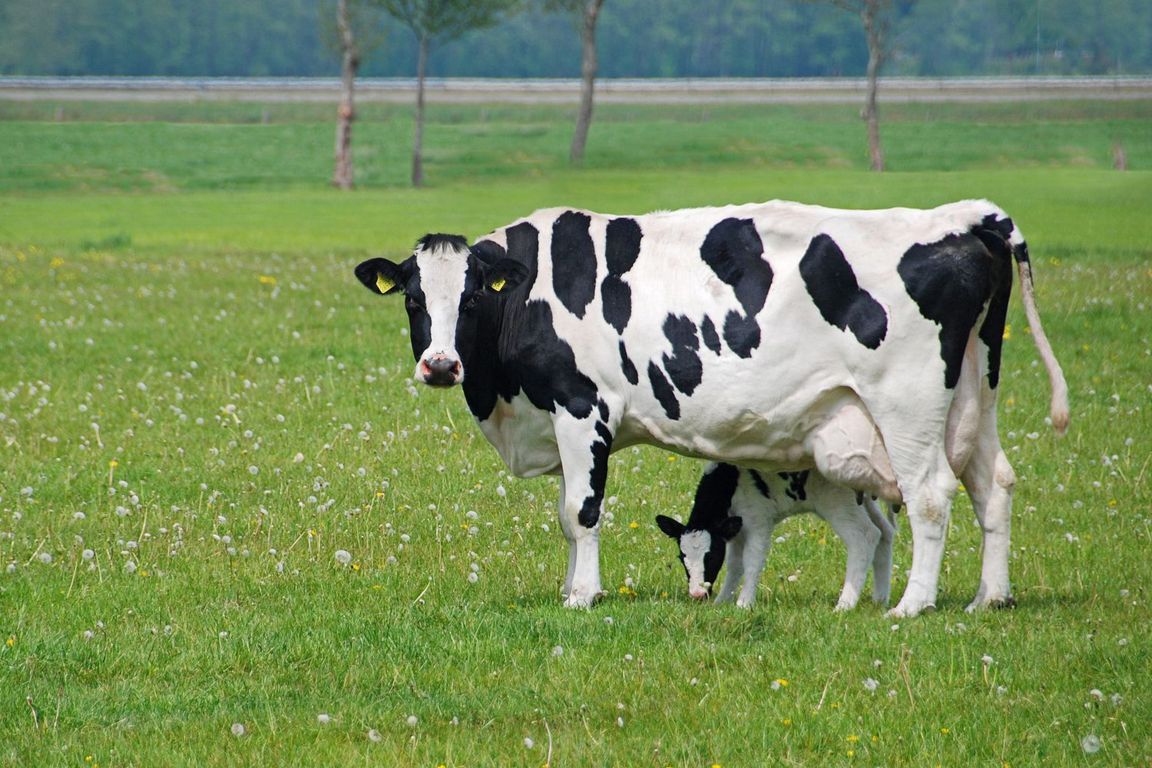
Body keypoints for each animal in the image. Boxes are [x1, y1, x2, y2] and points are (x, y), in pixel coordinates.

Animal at [658, 462, 889, 612]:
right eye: (682, 558)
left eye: (712, 557)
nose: (697, 594)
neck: (730, 481)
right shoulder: (736, 529)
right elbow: (734, 565)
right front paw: (722, 601)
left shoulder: (758, 522)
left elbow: (752, 562)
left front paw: (744, 604)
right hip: (864, 502)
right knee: (885, 531)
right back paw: (880, 599)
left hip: (837, 502)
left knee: (865, 536)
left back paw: (845, 605)